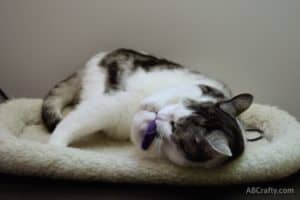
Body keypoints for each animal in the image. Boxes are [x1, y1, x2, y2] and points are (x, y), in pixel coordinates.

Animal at [42, 48, 253, 167]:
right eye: (188, 104)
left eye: (176, 127)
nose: (159, 114)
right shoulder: (200, 87)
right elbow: (170, 92)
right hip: (106, 91)